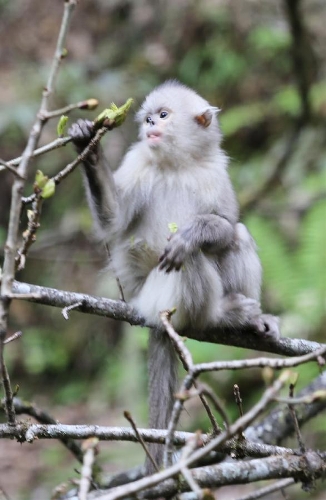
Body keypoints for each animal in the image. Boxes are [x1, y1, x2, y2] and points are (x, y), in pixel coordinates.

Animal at [69, 81, 280, 472]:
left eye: (163, 115)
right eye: (149, 117)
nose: (151, 123)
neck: (177, 164)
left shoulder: (215, 172)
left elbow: (225, 224)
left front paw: (195, 231)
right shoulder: (138, 162)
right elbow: (113, 222)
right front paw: (86, 146)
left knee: (234, 235)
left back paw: (247, 319)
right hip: (160, 297)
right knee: (188, 259)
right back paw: (222, 314)